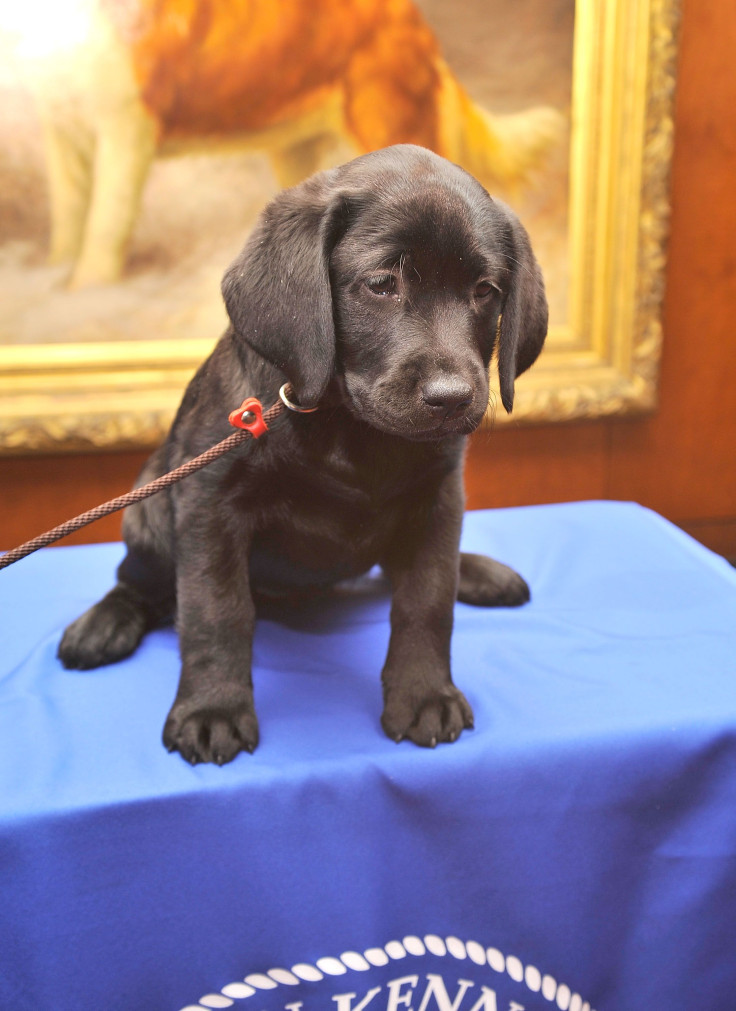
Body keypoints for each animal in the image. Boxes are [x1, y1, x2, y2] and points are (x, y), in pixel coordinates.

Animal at [58, 142, 545, 760]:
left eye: (486, 291)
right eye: (382, 283)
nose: (452, 398)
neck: (350, 428)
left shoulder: (438, 500)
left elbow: (428, 599)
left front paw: (423, 693)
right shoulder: (208, 505)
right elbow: (215, 611)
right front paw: (213, 707)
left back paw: (478, 572)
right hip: (150, 514)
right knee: (137, 583)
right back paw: (103, 624)